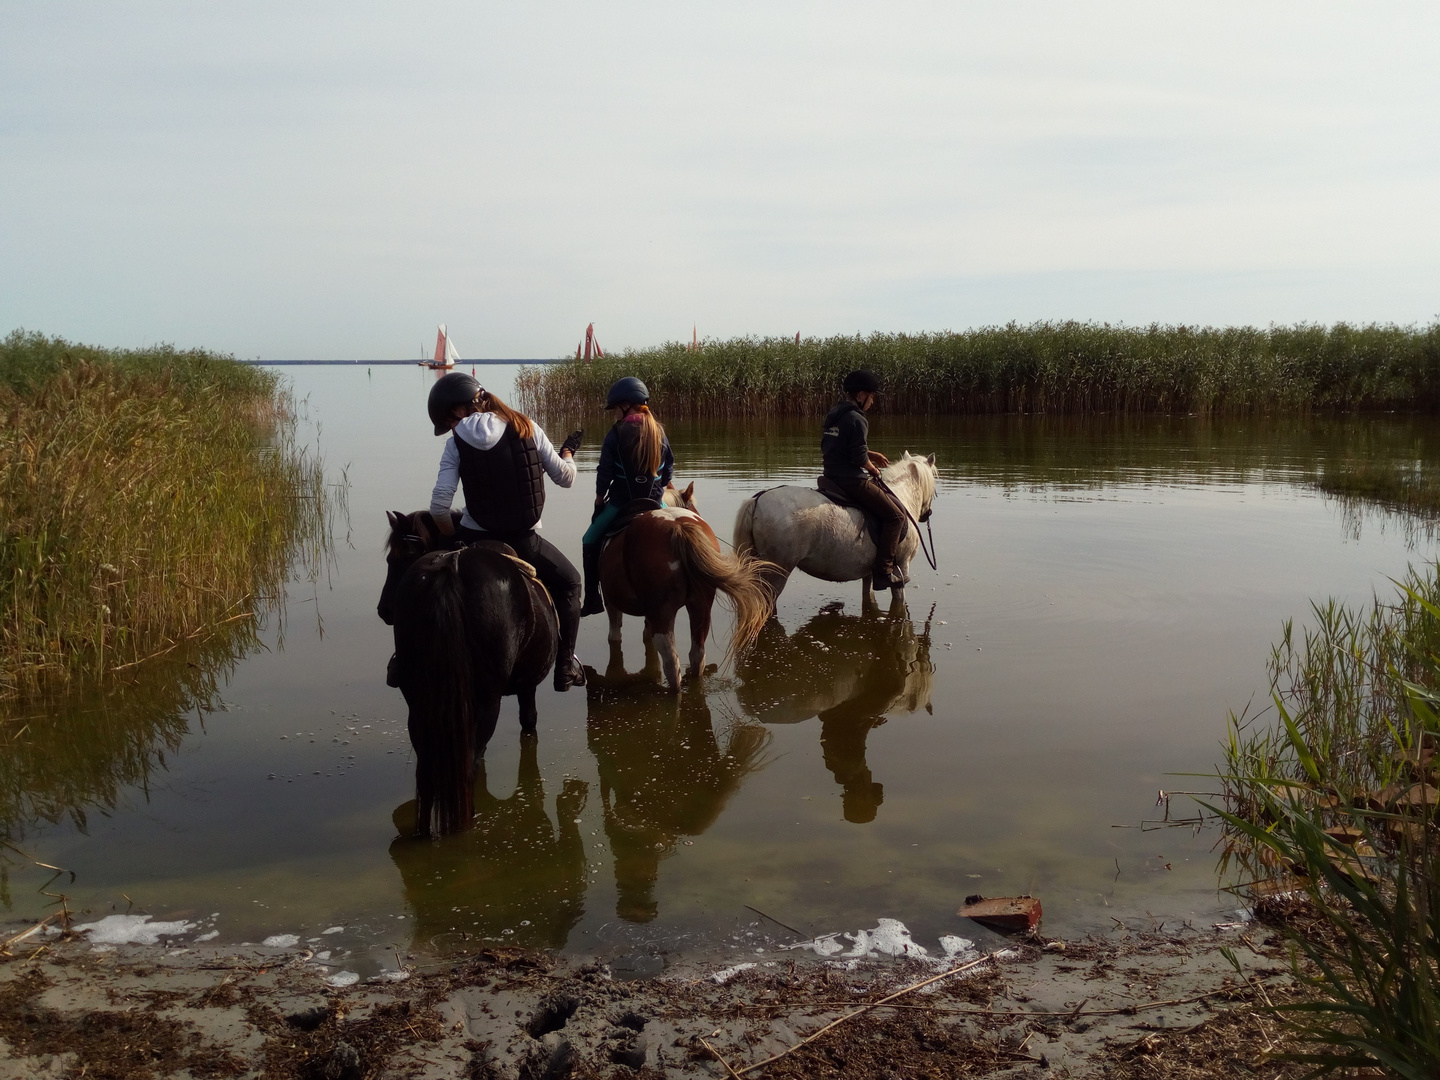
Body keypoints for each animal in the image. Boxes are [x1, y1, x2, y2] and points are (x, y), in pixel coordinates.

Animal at [596, 486, 777, 688]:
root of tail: (678, 527)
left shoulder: (612, 602)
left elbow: (615, 636)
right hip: (701, 607)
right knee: (697, 656)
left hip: (663, 613)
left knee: (672, 665)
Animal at [737, 452, 938, 613]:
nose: (927, 514)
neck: (901, 497)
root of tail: (759, 499)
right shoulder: (901, 567)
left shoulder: (869, 572)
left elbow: (868, 596)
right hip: (776, 573)